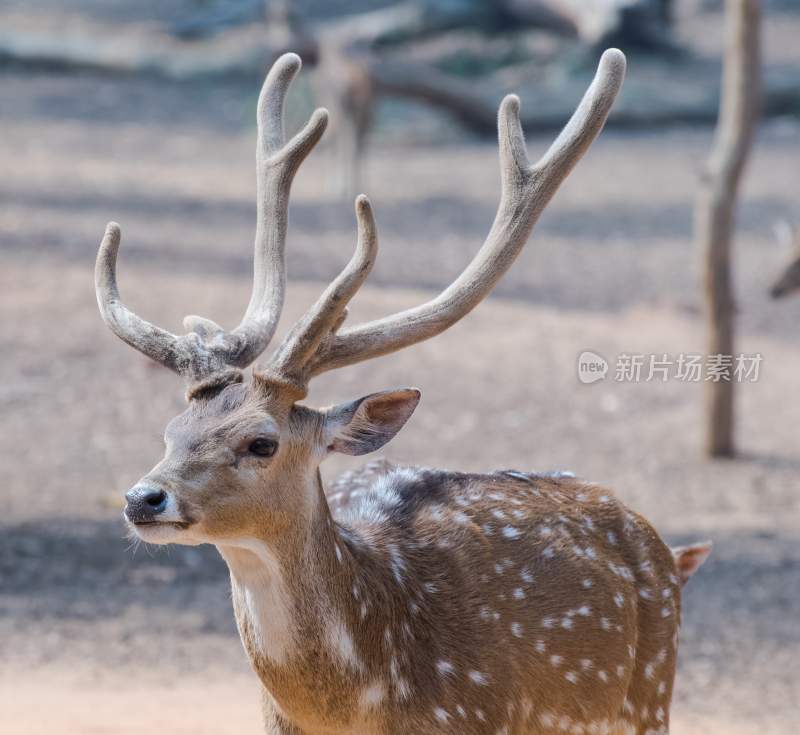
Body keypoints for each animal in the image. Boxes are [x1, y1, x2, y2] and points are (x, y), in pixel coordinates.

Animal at [95, 51, 712, 735]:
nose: (143, 498)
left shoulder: (476, 714)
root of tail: (662, 546)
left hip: (650, 694)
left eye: (261, 442)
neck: (353, 705)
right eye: (172, 431)